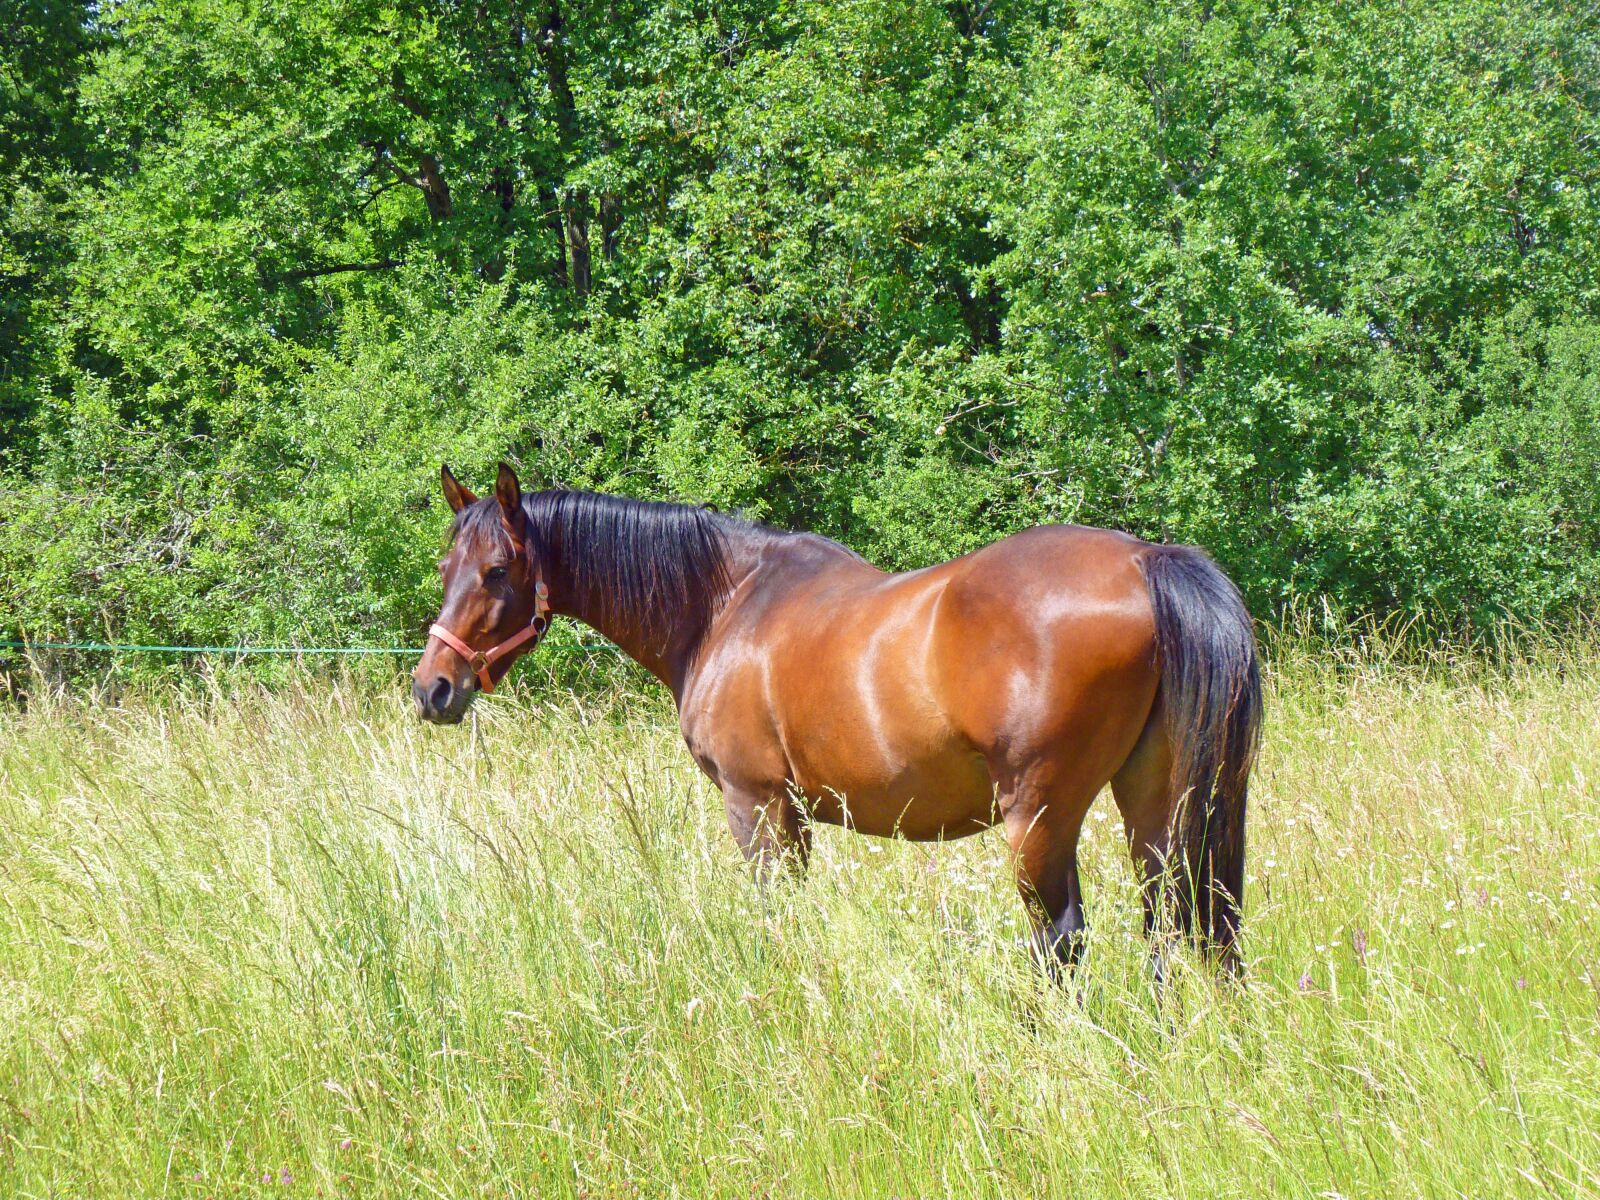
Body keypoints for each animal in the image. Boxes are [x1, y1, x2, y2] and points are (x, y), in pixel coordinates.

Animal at [412, 464, 1260, 979]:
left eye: (497, 571)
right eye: (446, 568)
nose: (433, 689)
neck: (723, 603)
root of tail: (1146, 561)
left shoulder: (756, 806)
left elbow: (777, 918)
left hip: (1040, 819)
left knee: (1063, 940)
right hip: (1153, 802)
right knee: (1172, 926)